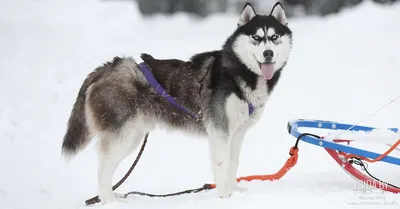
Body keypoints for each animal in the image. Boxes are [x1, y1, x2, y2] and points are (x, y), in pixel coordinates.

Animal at [63, 1, 294, 204]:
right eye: (256, 37)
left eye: (274, 37)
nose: (268, 53)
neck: (238, 72)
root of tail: (106, 68)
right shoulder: (220, 130)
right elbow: (222, 163)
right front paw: (225, 194)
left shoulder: (237, 133)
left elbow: (233, 163)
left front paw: (234, 190)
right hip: (122, 136)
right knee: (103, 170)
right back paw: (109, 200)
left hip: (133, 136)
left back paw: (113, 196)